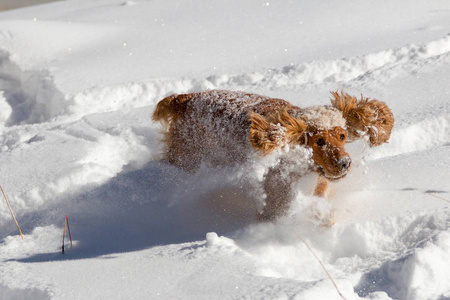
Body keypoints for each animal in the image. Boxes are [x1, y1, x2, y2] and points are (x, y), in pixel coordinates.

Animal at [152, 90, 394, 221]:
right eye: (319, 141)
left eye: (342, 135)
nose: (344, 163)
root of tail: (184, 99)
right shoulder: (277, 194)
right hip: (187, 159)